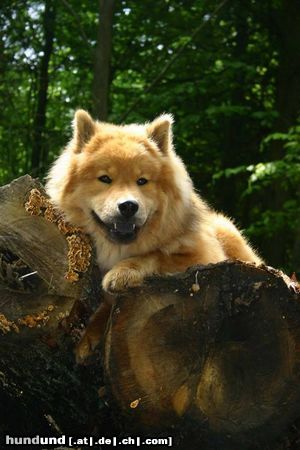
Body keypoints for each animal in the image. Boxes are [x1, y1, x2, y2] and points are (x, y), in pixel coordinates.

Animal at [45, 108, 262, 292]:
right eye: (105, 178)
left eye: (142, 181)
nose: (128, 206)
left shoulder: (204, 257)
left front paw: (123, 272)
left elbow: (155, 255)